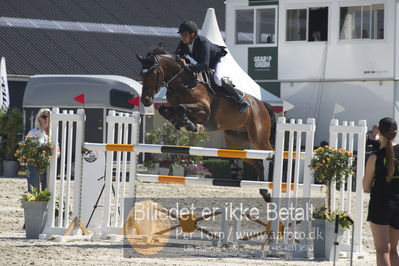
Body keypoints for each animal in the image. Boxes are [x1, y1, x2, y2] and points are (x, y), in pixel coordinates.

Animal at [137, 49, 276, 202]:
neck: (182, 83)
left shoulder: (204, 110)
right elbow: (166, 109)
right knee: (259, 164)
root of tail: (261, 104)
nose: (145, 100)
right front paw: (180, 122)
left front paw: (190, 124)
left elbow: (181, 108)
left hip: (259, 138)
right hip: (237, 145)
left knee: (271, 155)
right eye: (141, 74)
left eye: (153, 73)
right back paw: (265, 193)